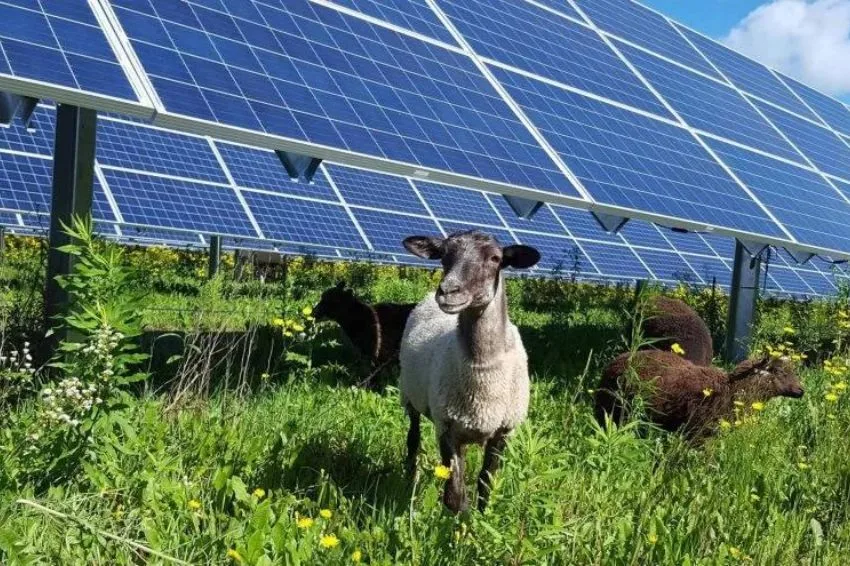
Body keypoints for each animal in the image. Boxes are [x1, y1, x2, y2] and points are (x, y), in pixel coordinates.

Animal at [400, 231, 540, 516]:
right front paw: (461, 525)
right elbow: (455, 496)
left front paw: (483, 519)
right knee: (413, 438)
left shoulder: (503, 431)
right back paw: (410, 475)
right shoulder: (447, 427)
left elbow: (487, 483)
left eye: (496, 258)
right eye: (443, 255)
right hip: (410, 396)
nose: (448, 291)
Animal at [592, 352, 804, 442]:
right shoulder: (699, 435)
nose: (802, 390)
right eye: (778, 371)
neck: (731, 390)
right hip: (611, 410)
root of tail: (613, 363)